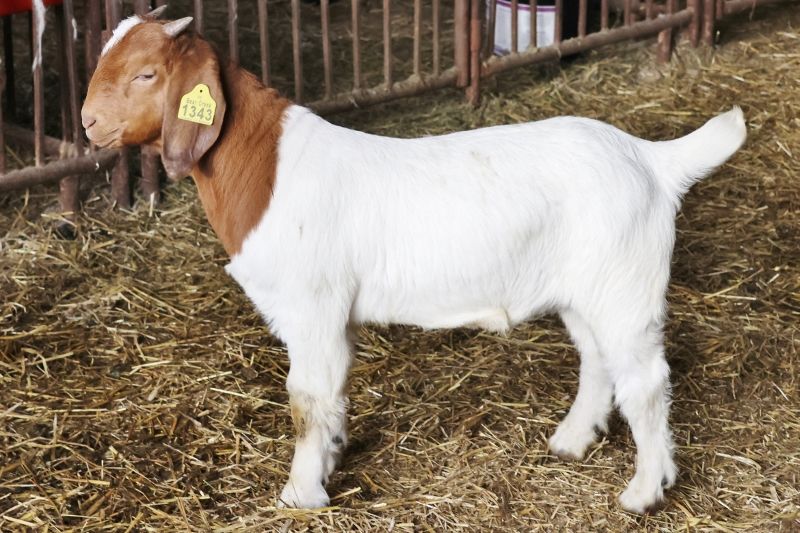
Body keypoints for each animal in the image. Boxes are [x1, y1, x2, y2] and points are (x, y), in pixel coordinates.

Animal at [84, 11, 748, 512]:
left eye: (147, 73)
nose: (88, 122)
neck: (266, 167)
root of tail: (650, 159)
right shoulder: (335, 318)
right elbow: (333, 394)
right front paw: (331, 458)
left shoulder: (312, 306)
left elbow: (306, 400)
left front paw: (300, 494)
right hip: (586, 291)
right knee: (598, 362)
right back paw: (571, 441)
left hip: (625, 288)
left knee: (646, 381)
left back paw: (644, 491)